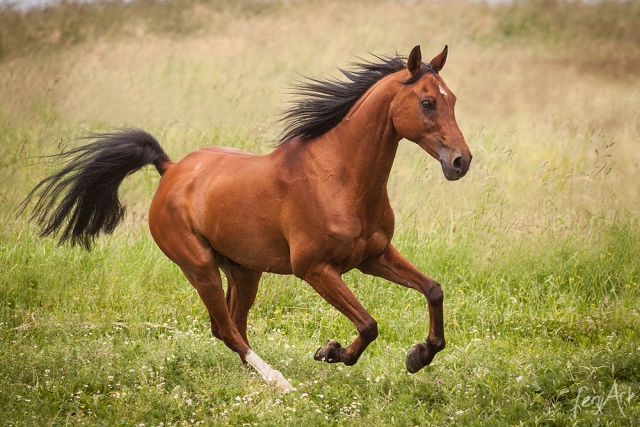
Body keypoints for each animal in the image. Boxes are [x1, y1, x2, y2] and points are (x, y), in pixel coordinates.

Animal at [22, 46, 470, 392]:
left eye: (452, 100)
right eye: (427, 102)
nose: (461, 162)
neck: (337, 177)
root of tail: (170, 169)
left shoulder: (373, 256)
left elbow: (433, 290)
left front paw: (419, 355)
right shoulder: (316, 269)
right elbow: (368, 324)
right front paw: (331, 352)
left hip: (243, 271)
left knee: (233, 326)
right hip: (200, 267)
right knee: (225, 328)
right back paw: (278, 380)